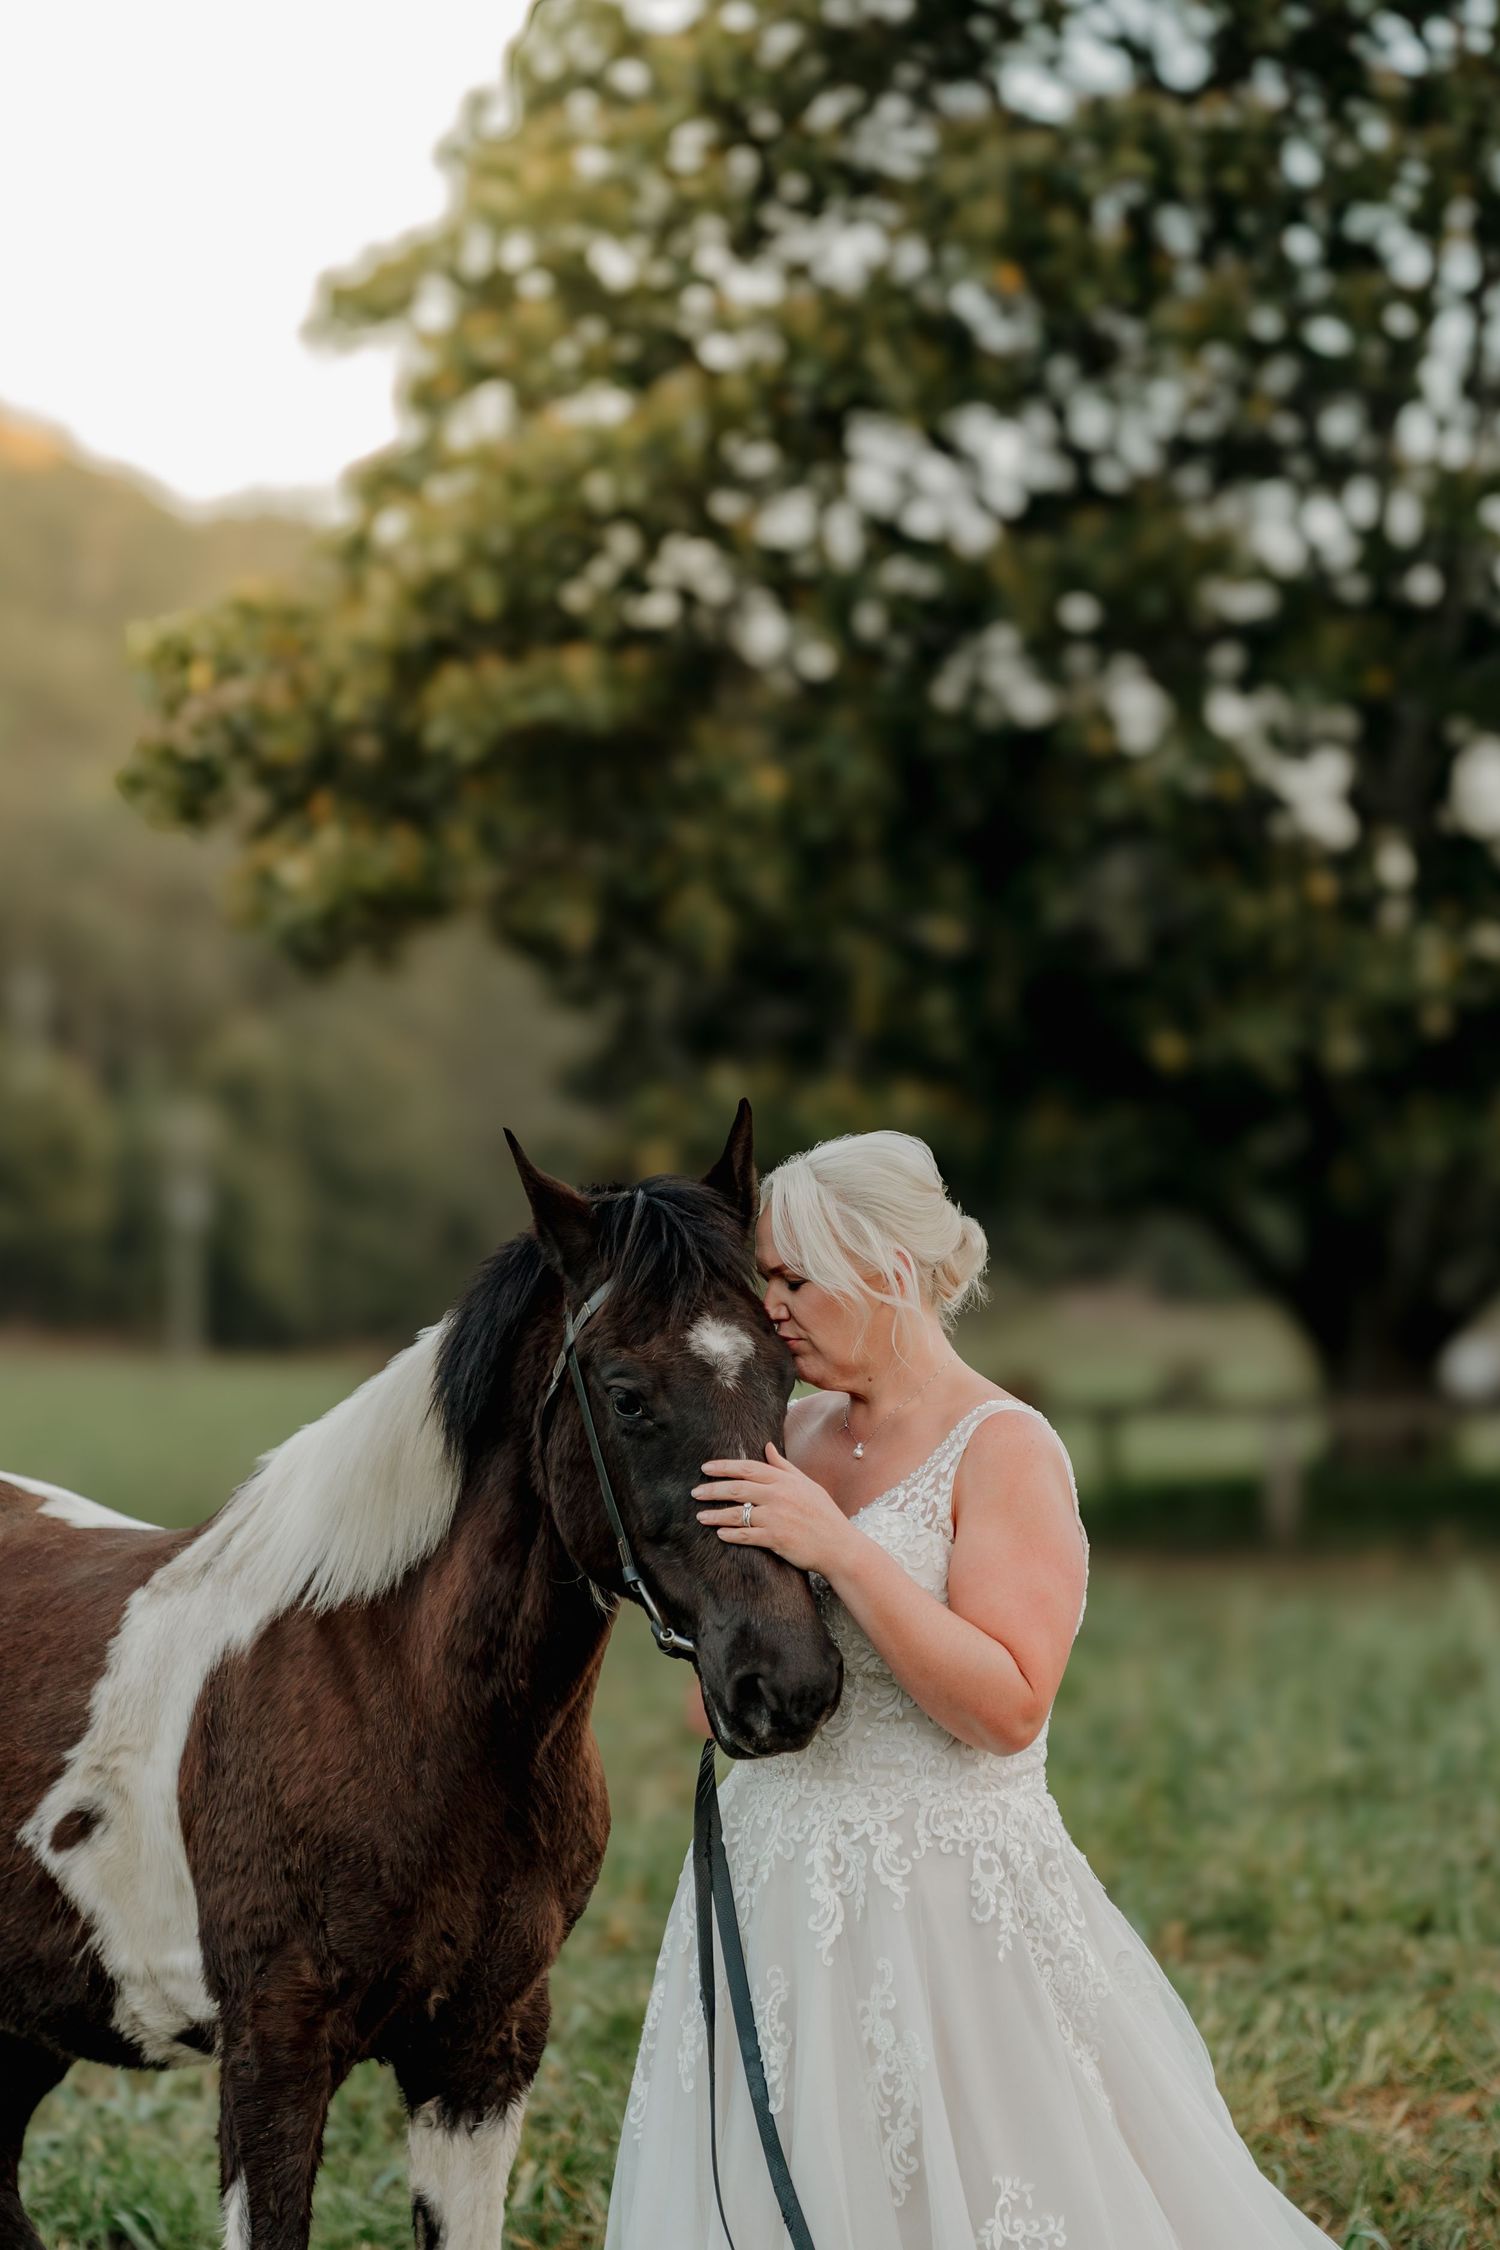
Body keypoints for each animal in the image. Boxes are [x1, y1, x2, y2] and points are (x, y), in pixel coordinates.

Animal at [0, 1102, 843, 2250]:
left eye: (782, 1376)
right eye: (626, 1396)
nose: (785, 1682)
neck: (398, 1703)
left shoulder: (483, 2053)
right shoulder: (273, 2058)